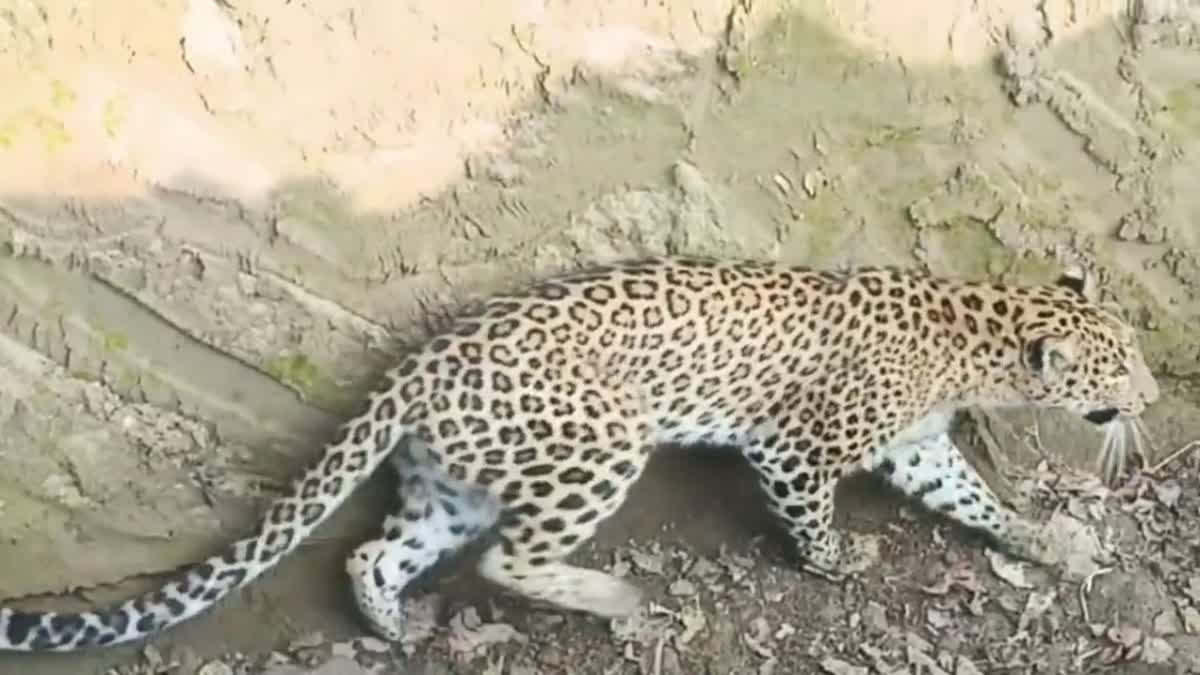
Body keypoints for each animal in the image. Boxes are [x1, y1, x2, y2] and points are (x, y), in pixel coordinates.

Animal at [0, 256, 1159, 652]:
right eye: (1122, 367)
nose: (1153, 396)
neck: (978, 334)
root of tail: (418, 363)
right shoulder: (798, 447)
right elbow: (815, 519)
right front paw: (841, 564)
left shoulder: (920, 452)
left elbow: (975, 496)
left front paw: (1045, 539)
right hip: (600, 443)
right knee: (509, 559)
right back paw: (613, 600)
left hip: (453, 481)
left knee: (375, 549)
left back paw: (393, 627)